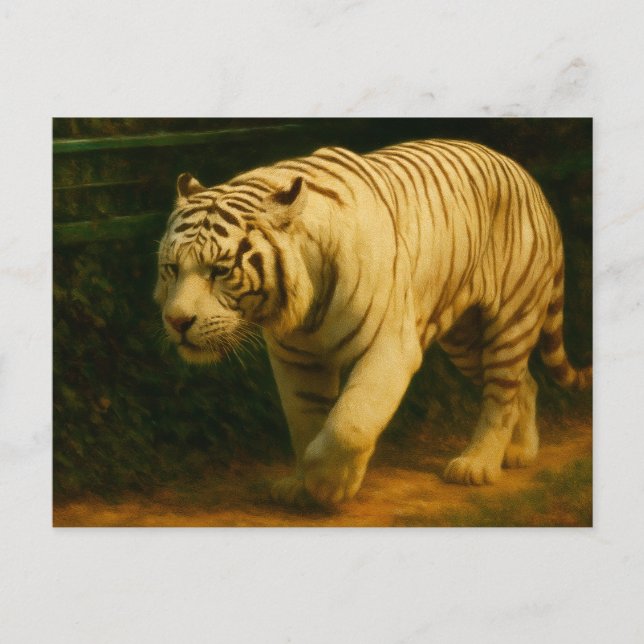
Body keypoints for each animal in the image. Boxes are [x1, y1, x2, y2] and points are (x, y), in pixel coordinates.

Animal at [154, 138, 591, 507]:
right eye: (172, 268)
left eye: (220, 270)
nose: (177, 321)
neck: (303, 300)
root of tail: (526, 176)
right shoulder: (296, 358)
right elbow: (304, 421)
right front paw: (300, 484)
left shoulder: (390, 346)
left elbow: (350, 422)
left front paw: (330, 485)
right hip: (465, 339)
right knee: (525, 383)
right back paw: (519, 453)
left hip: (512, 318)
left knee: (501, 393)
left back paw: (477, 466)